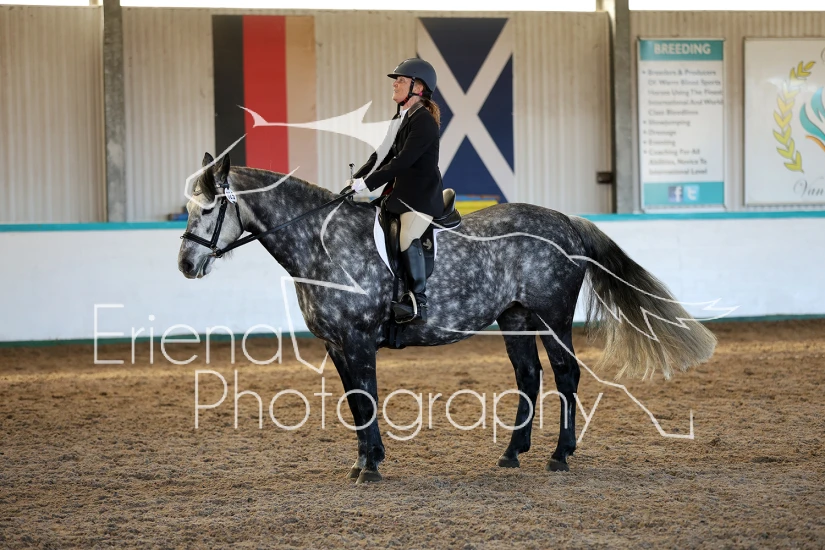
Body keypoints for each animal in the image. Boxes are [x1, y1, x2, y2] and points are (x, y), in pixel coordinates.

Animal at [177, 152, 717, 484]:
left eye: (206, 210)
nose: (185, 264)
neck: (323, 243)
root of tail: (566, 221)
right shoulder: (336, 345)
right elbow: (355, 402)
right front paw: (364, 461)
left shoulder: (357, 340)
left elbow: (365, 400)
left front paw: (371, 466)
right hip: (515, 317)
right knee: (529, 376)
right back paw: (511, 454)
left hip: (552, 316)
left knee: (566, 375)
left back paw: (559, 456)